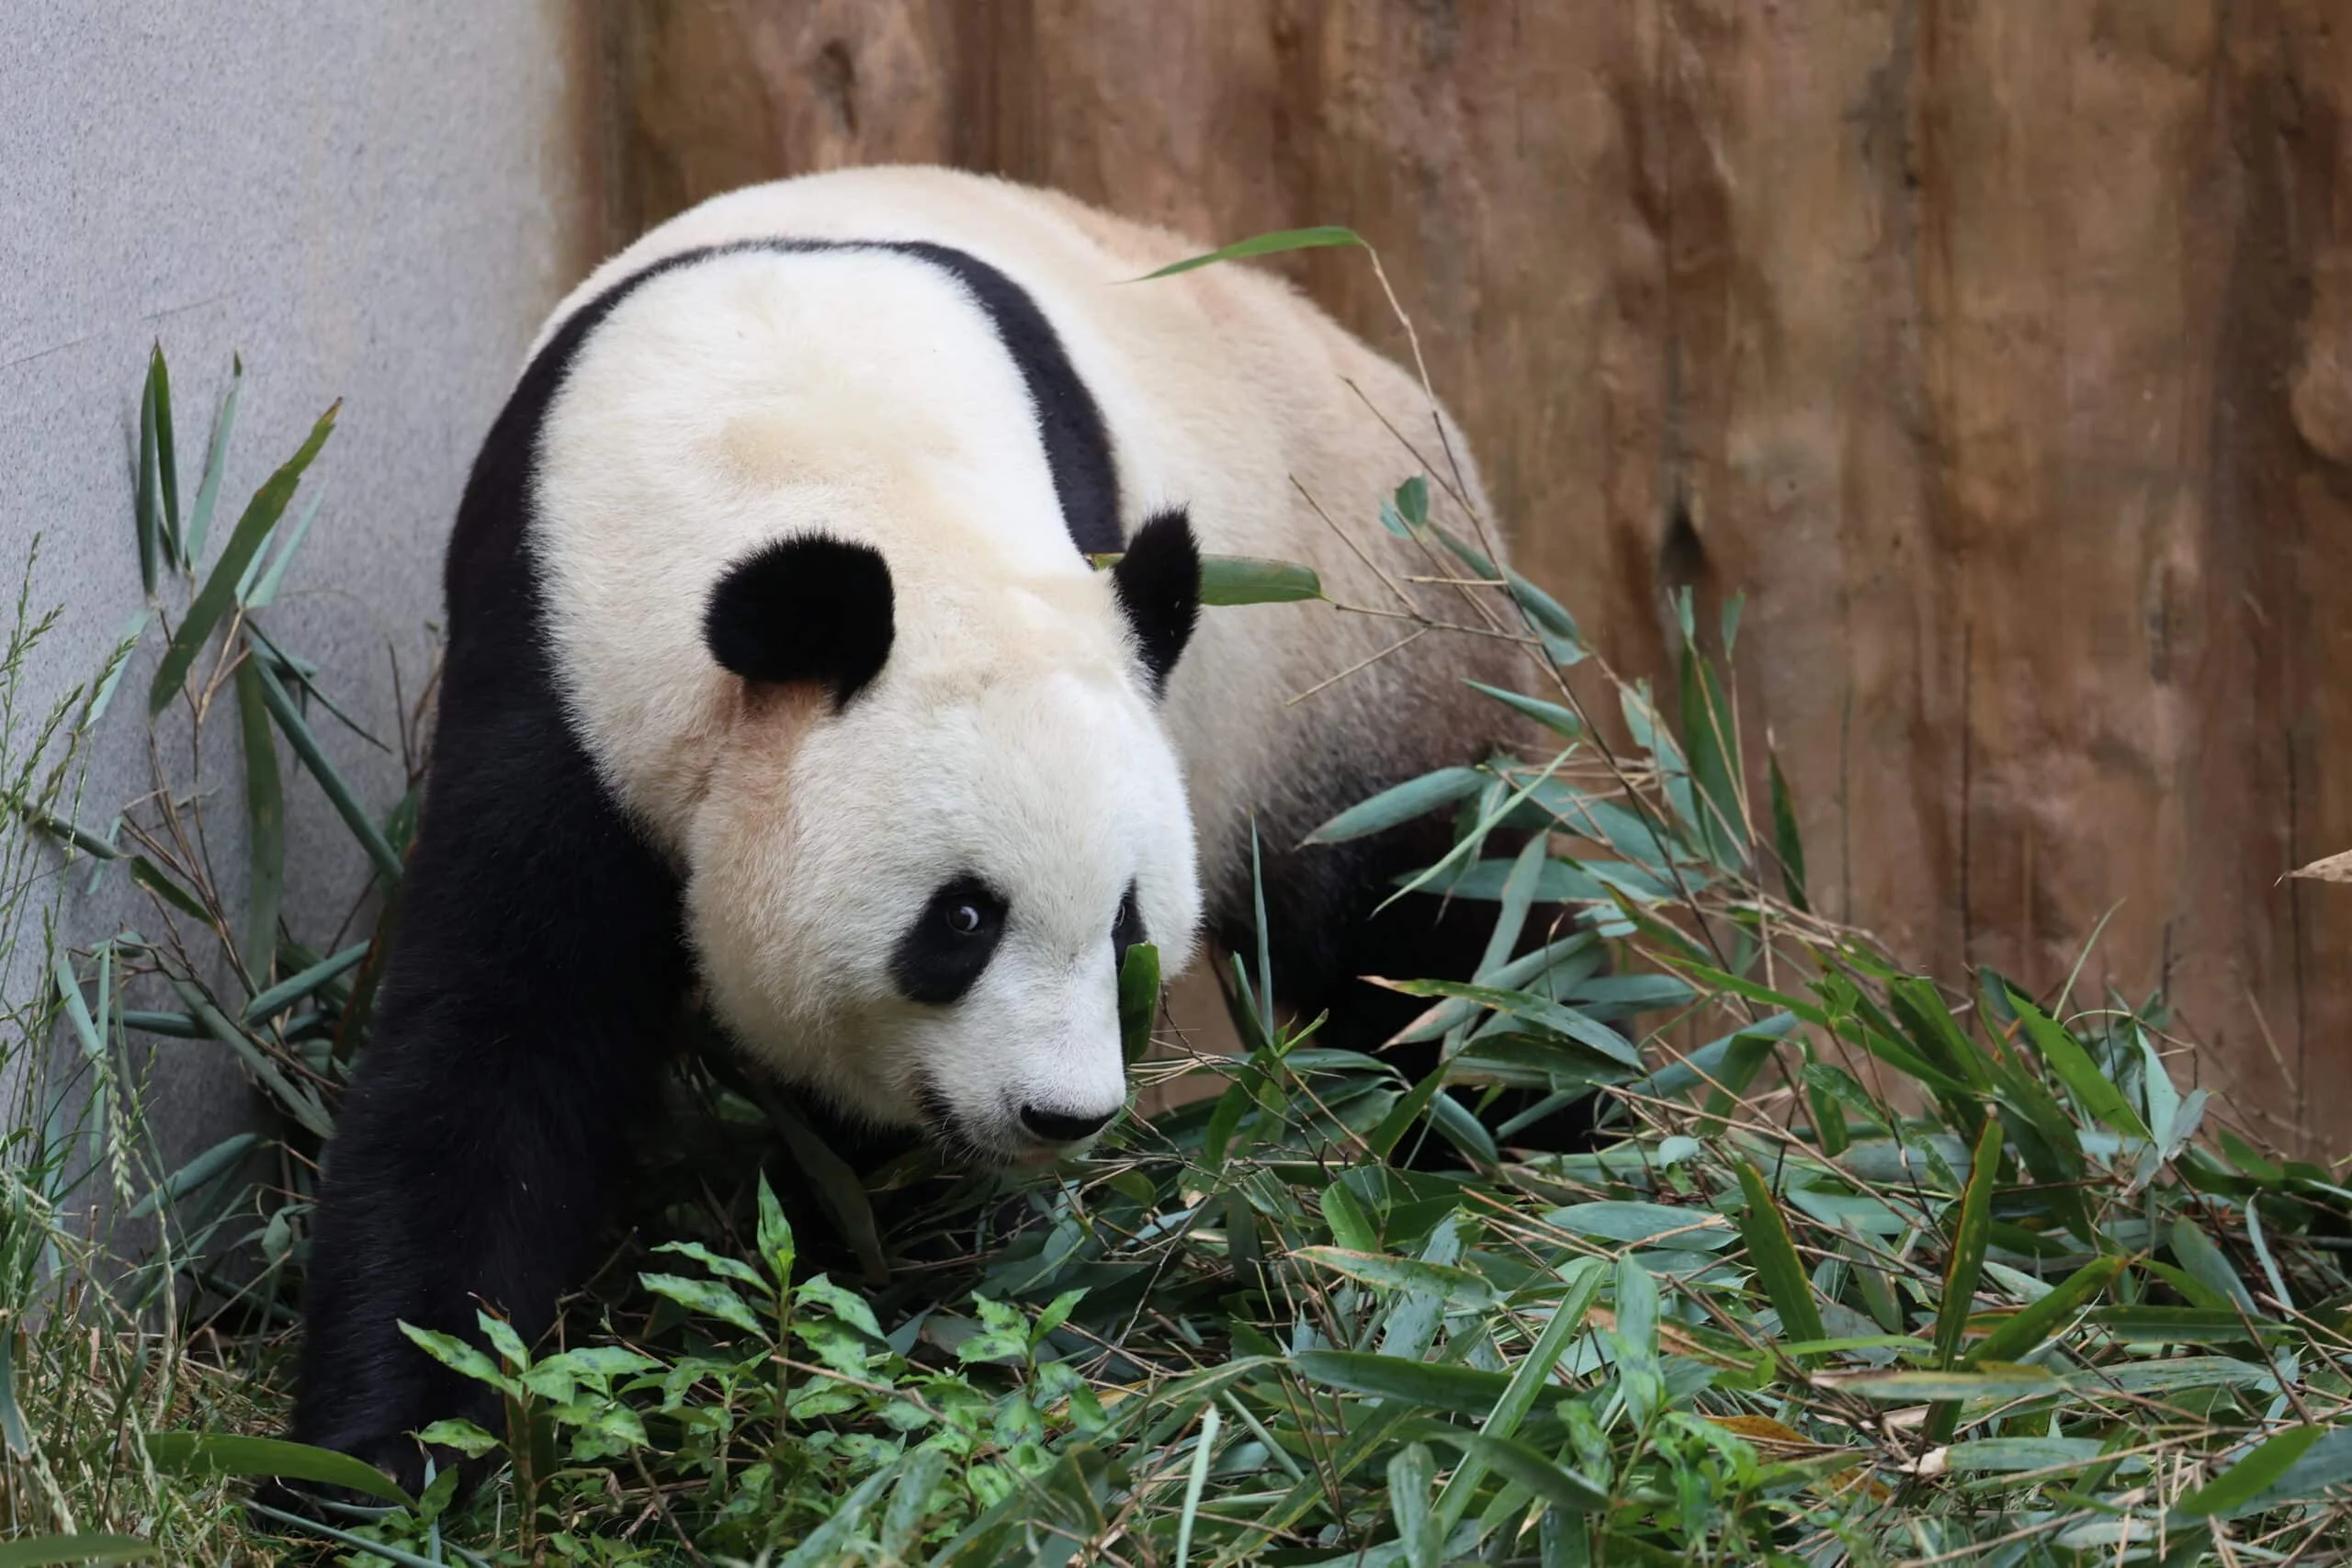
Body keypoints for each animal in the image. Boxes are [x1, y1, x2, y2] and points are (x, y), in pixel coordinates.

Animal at [294, 165, 1547, 1482]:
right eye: (961, 920)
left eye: (1127, 925)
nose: (1061, 1115)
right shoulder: (552, 657)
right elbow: (496, 1035)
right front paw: (378, 1454)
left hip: (1364, 668)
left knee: (1441, 942)